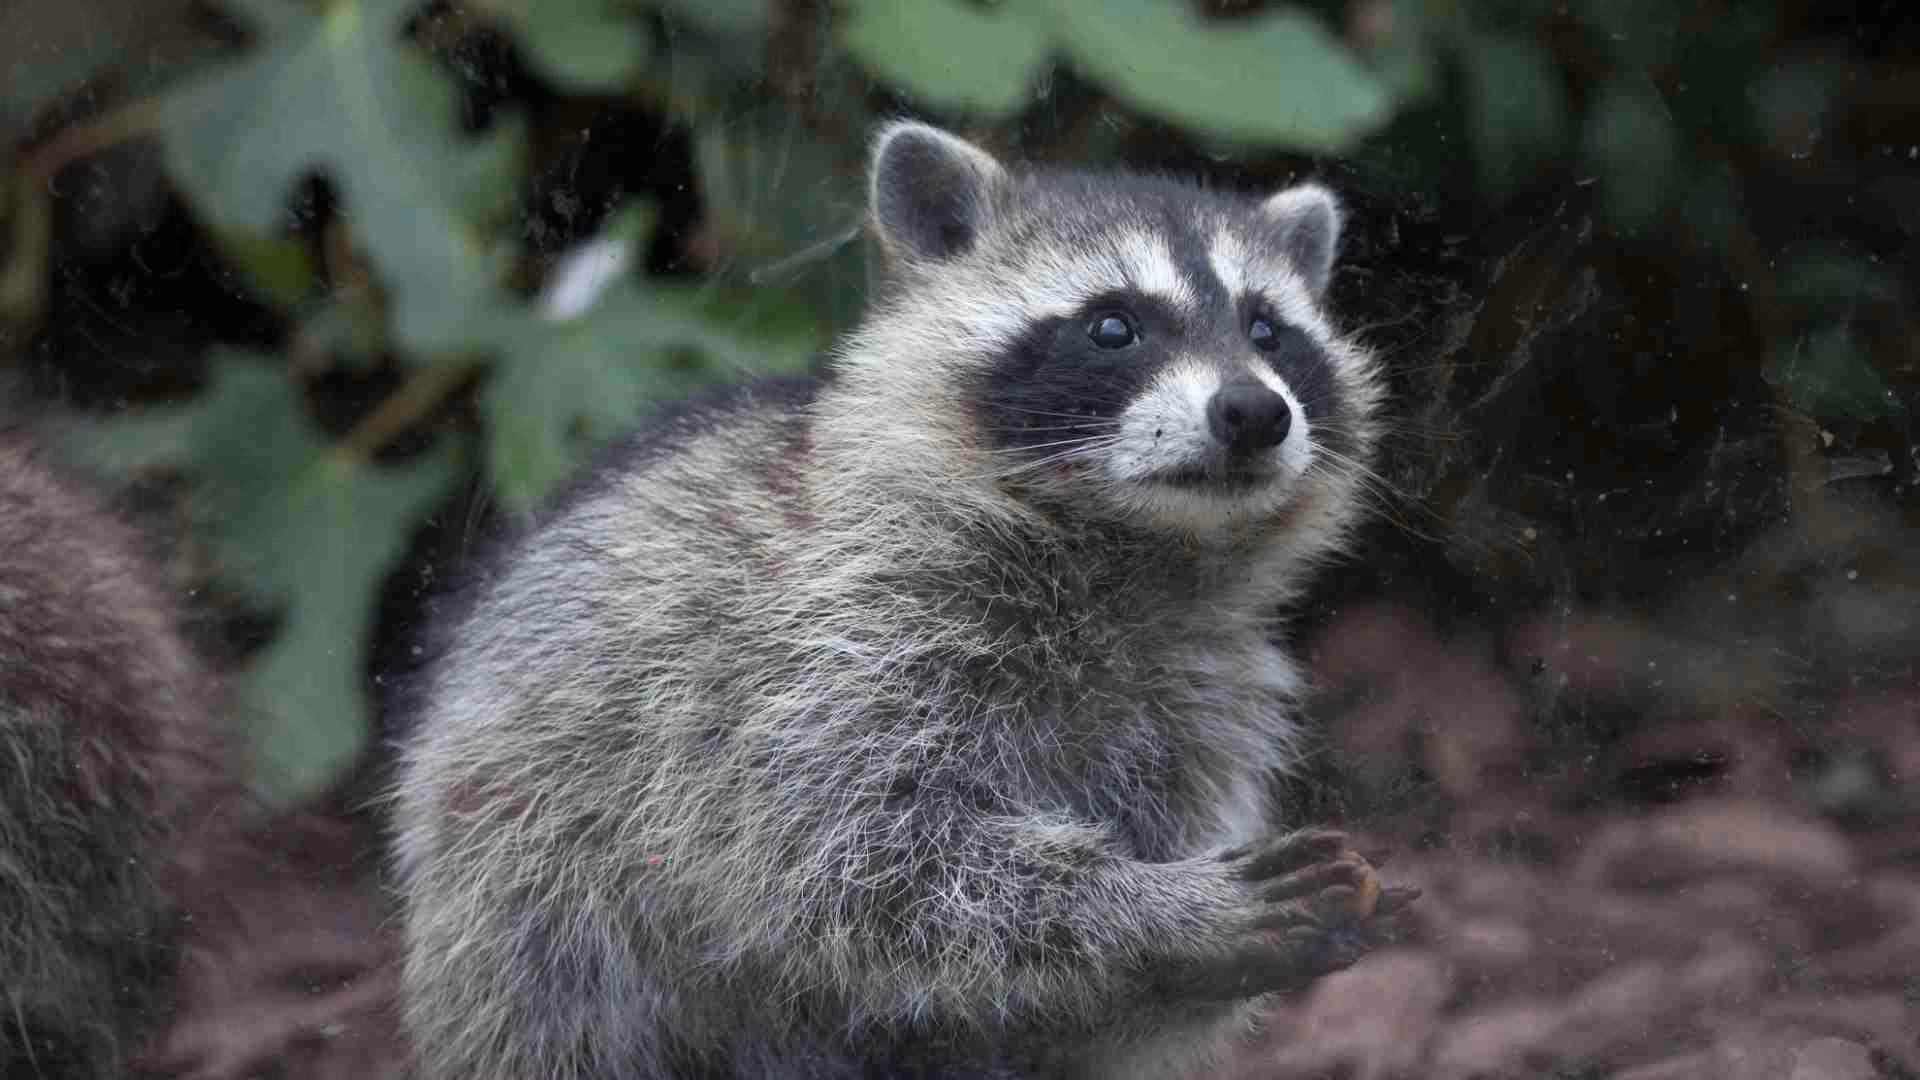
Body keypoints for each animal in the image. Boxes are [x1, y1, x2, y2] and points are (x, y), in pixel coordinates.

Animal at [391, 121, 1400, 1079]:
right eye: (1114, 327)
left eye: (1268, 332)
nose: (1254, 411)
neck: (1139, 551)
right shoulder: (818, 642)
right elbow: (844, 860)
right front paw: (1158, 914)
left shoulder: (1204, 700)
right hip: (515, 883)